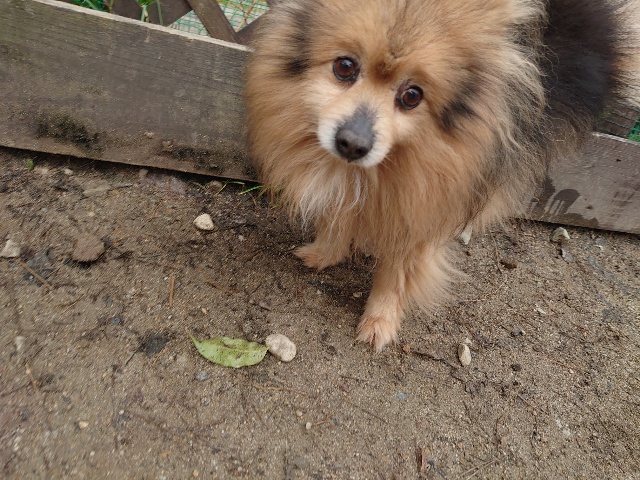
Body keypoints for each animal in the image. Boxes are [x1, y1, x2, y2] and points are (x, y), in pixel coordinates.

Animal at [245, 0, 637, 351]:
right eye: (344, 67)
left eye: (412, 96)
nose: (353, 144)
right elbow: (340, 215)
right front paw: (327, 251)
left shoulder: (423, 209)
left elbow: (395, 271)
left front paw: (380, 319)